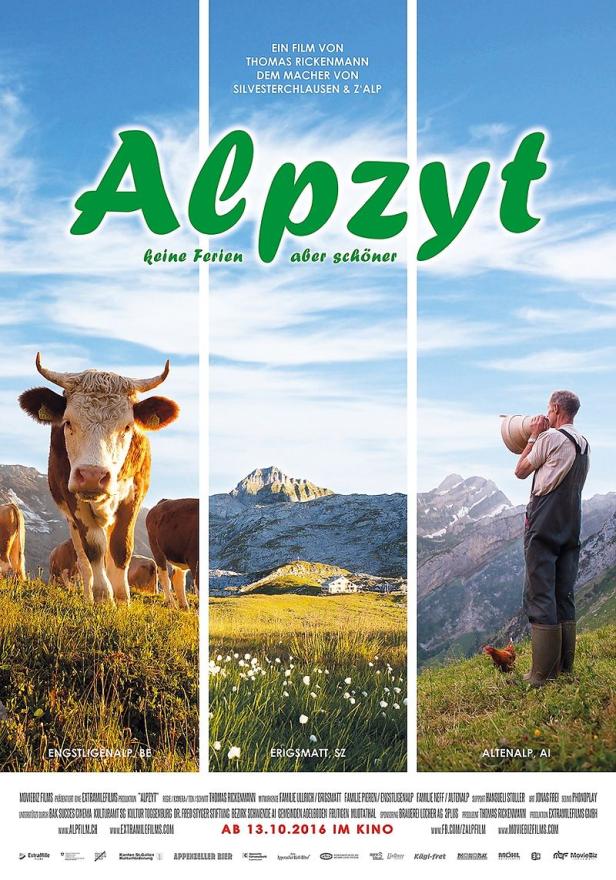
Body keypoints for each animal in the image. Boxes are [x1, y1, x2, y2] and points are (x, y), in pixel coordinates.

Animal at [19, 354, 179, 605]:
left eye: (127, 426)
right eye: (68, 422)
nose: (92, 476)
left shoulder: (135, 494)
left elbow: (121, 547)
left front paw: (122, 598)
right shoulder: (73, 499)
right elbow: (93, 549)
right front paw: (103, 596)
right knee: (84, 560)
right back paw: (89, 595)